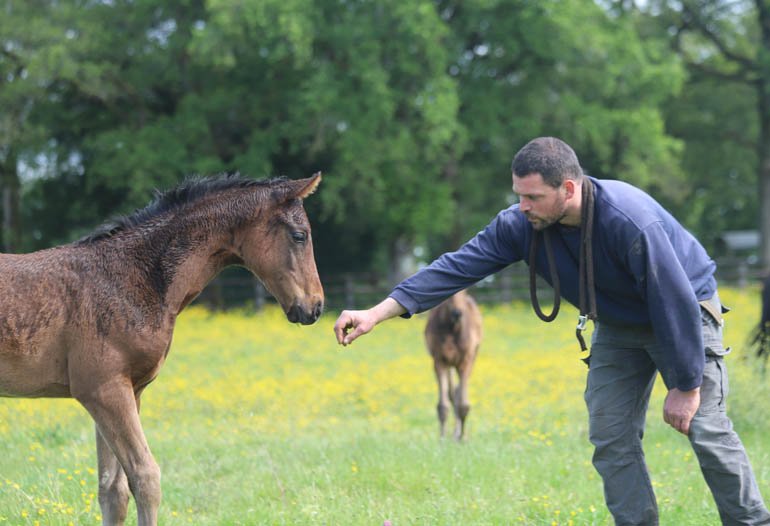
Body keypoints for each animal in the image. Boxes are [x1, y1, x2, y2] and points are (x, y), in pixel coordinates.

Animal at [0, 173, 324, 526]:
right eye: (300, 235)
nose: (315, 307)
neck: (132, 278)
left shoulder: (129, 390)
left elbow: (112, 490)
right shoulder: (102, 390)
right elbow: (146, 477)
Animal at [424, 289, 482, 440]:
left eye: (465, 290)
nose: (457, 313)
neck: (452, 328)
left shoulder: (465, 360)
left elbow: (463, 404)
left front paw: (462, 437)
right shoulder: (440, 360)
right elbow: (443, 405)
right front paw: (442, 438)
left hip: (472, 356)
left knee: (457, 392)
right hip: (450, 364)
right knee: (452, 393)